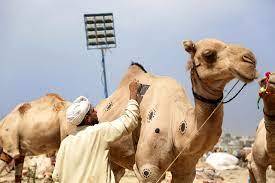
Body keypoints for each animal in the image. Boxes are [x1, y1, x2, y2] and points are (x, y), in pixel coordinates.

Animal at [95, 38, 258, 182]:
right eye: (208, 53)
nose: (250, 60)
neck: (177, 127)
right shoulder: (147, 171)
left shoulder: (186, 170)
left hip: (115, 161)